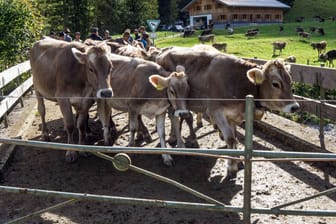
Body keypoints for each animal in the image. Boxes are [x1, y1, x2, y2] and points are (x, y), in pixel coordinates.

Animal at [155, 46, 300, 179]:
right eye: (275, 84)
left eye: (290, 82)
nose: (295, 107)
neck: (237, 82)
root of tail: (163, 51)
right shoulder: (216, 112)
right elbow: (230, 138)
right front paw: (231, 167)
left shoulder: (233, 115)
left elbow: (234, 136)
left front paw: (238, 159)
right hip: (171, 100)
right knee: (173, 117)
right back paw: (177, 141)